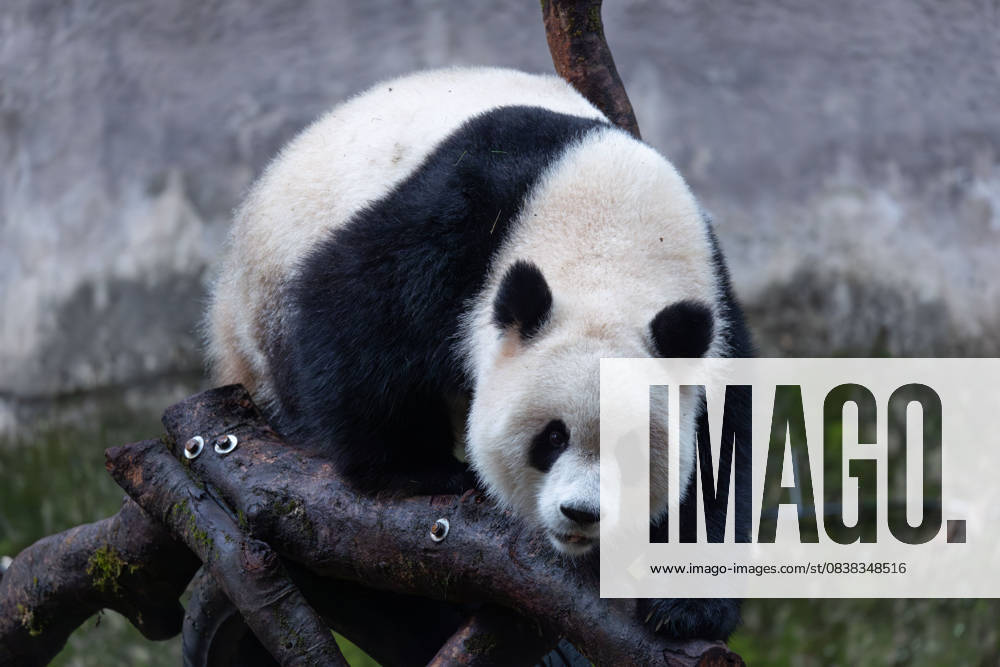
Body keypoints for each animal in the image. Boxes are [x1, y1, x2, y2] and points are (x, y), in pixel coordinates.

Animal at [206, 67, 752, 641]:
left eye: (629, 448)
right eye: (552, 437)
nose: (581, 513)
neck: (612, 248)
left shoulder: (712, 314)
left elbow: (723, 452)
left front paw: (686, 604)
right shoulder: (471, 216)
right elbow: (354, 299)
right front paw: (419, 469)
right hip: (264, 305)